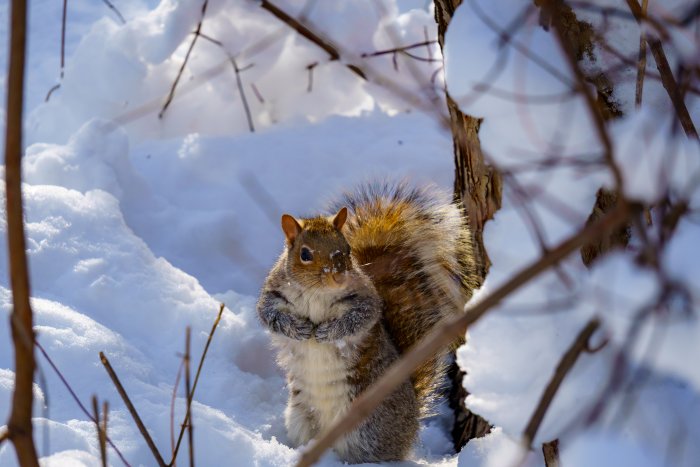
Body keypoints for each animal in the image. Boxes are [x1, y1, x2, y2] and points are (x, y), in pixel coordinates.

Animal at [257, 182, 481, 463]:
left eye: (346, 250)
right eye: (305, 254)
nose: (338, 277)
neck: (316, 292)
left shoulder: (365, 300)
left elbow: (359, 319)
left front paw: (328, 332)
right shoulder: (273, 296)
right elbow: (269, 316)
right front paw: (298, 328)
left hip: (368, 429)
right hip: (301, 420)